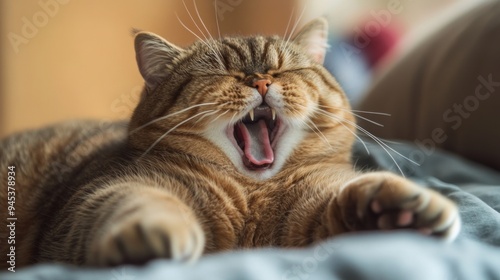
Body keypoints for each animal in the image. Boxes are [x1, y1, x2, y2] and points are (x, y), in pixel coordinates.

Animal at [0, 17, 460, 266]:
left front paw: (401, 209)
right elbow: (136, 201)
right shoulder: (103, 191)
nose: (260, 80)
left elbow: (347, 199)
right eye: (223, 71)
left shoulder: (310, 210)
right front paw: (151, 232)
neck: (252, 194)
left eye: (283, 68)